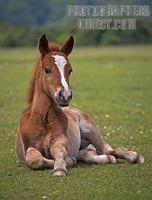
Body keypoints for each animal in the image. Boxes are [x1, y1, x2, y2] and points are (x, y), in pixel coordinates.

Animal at [16, 34, 144, 177]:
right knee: (94, 153)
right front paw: (67, 161)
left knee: (108, 150)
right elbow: (34, 159)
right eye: (47, 70)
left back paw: (134, 156)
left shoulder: (61, 140)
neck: (43, 119)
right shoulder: (28, 147)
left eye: (70, 70)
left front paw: (60, 168)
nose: (65, 95)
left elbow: (58, 152)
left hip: (91, 130)